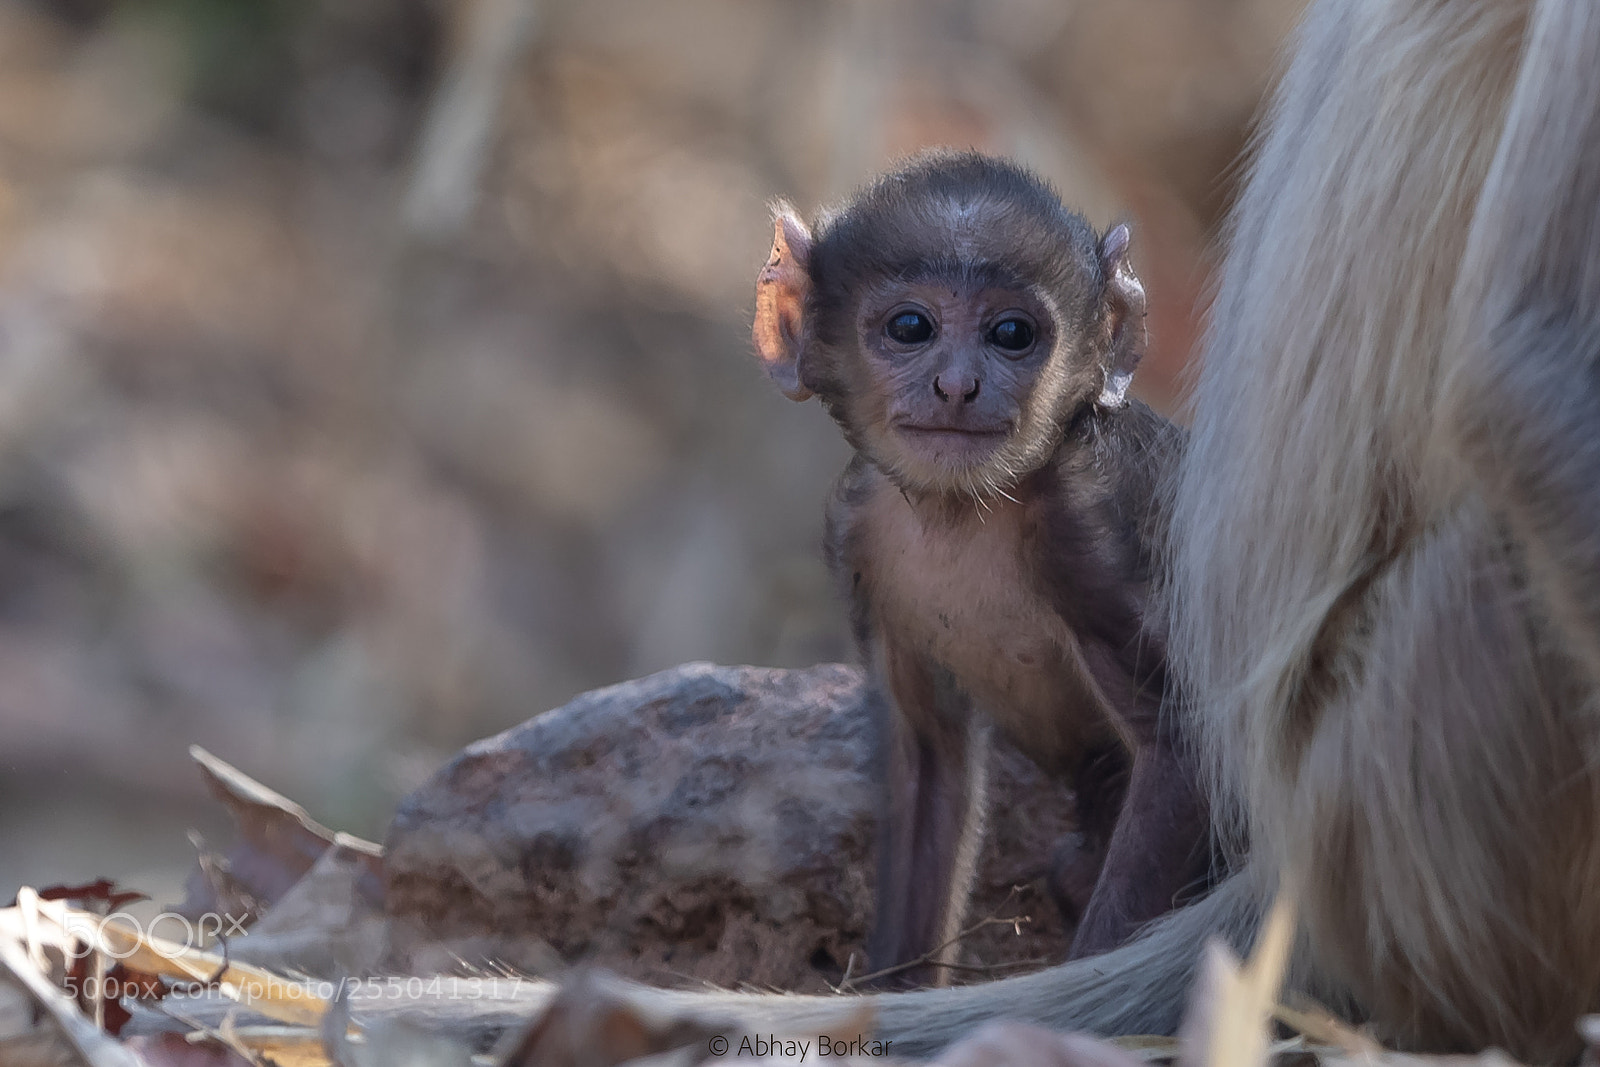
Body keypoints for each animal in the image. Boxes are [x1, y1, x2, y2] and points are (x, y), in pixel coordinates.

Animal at [750, 152, 1211, 982]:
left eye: (1011, 334)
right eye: (911, 327)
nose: (957, 386)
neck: (961, 512)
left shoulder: (1086, 525)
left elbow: (1183, 746)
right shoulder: (856, 530)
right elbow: (930, 764)